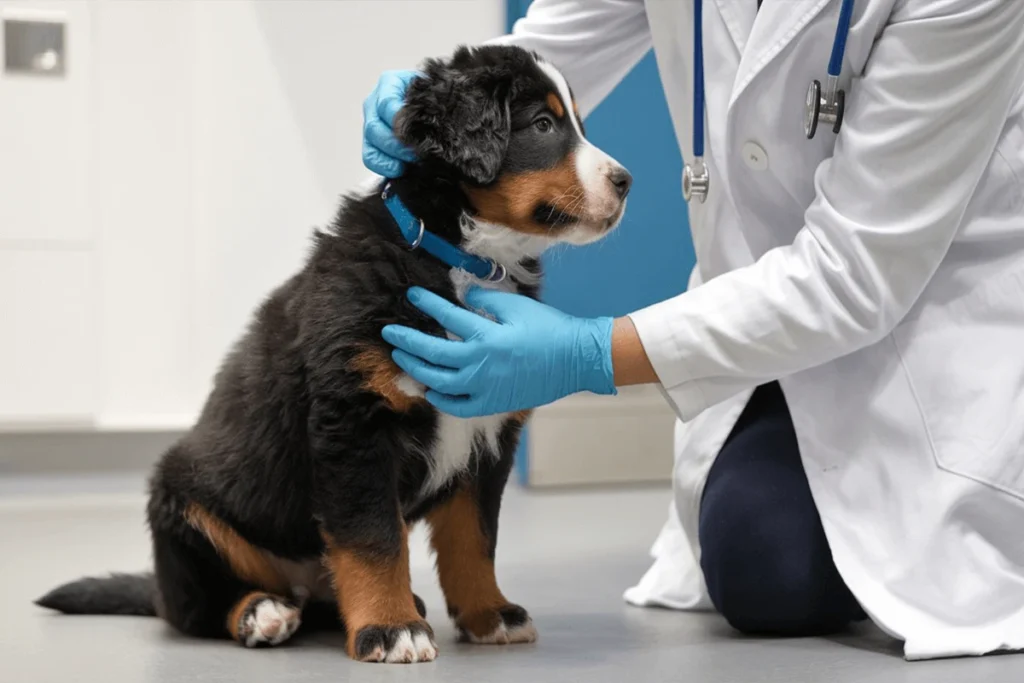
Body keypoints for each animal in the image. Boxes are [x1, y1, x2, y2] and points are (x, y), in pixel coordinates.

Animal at [37, 45, 630, 663]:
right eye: (542, 125)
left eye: (577, 124)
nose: (626, 181)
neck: (462, 260)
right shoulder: (354, 422)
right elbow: (374, 540)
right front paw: (392, 629)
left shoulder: (487, 428)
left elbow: (474, 539)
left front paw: (490, 615)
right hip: (181, 503)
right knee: (196, 604)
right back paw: (263, 612)